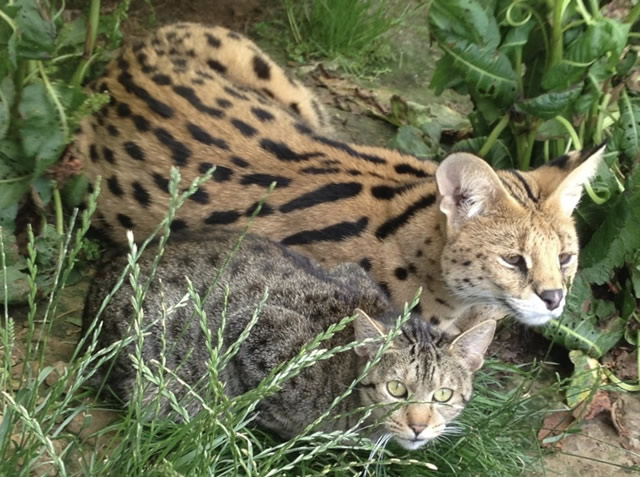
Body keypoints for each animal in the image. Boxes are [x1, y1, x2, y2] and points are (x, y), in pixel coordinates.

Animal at [84, 229, 496, 448]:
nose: (419, 426)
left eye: (443, 395)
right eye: (396, 389)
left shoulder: (350, 271)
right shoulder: (256, 329)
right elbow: (255, 400)